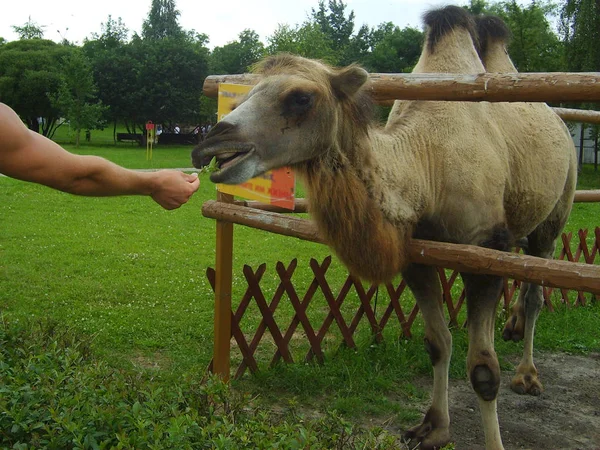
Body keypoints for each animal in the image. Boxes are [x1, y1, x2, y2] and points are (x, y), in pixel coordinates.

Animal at [192, 7, 576, 450]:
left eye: (300, 97)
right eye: (247, 93)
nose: (208, 143)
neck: (428, 167)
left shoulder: (484, 248)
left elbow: (483, 371)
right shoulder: (416, 254)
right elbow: (437, 342)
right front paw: (434, 428)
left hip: (554, 215)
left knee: (537, 288)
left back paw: (527, 375)